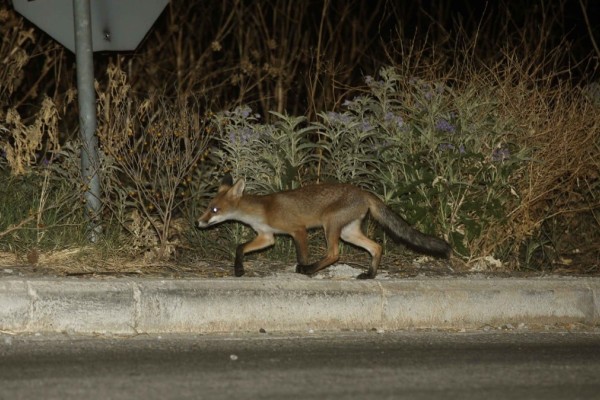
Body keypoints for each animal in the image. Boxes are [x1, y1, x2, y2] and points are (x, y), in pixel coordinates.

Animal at [197, 175, 450, 278]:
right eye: (208, 207)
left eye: (215, 210)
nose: (198, 222)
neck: (263, 211)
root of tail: (363, 192)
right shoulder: (267, 237)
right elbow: (240, 248)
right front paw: (239, 269)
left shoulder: (298, 230)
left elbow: (301, 255)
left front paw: (303, 268)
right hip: (348, 233)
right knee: (377, 247)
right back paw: (370, 275)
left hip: (331, 225)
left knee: (334, 254)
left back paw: (310, 270)